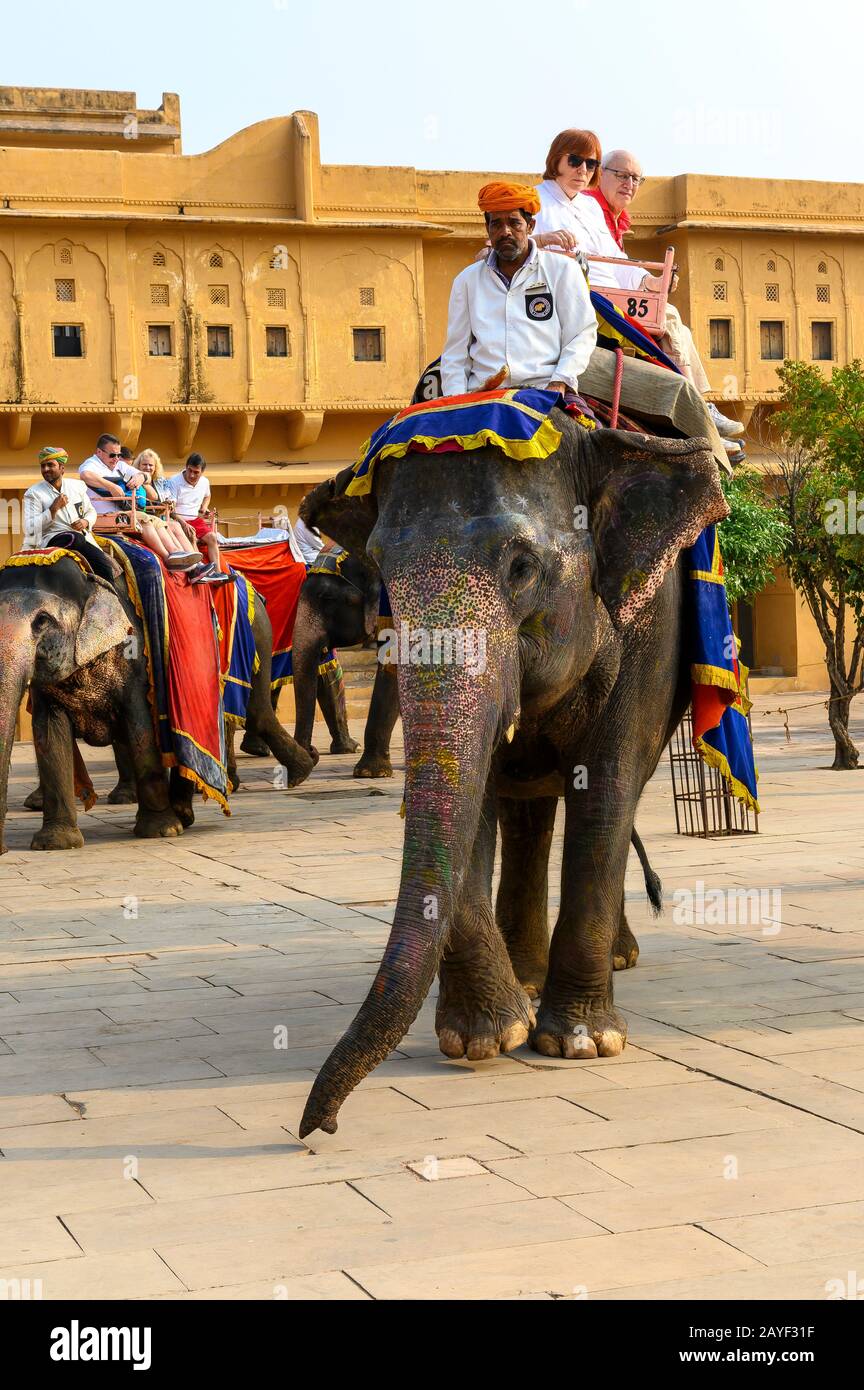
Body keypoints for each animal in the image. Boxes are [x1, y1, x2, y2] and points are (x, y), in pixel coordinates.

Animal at [0, 550, 311, 850]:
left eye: (42, 620)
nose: (3, 850)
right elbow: (49, 735)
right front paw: (56, 843)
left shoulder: (136, 654)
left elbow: (141, 725)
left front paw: (160, 831)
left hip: (257, 636)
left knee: (255, 712)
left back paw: (298, 773)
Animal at [300, 417, 733, 1134]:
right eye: (384, 572)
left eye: (522, 567)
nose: (323, 1125)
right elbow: (470, 795)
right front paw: (485, 1038)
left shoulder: (650, 626)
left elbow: (608, 789)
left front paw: (582, 1044)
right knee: (527, 814)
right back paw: (526, 976)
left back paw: (615, 959)